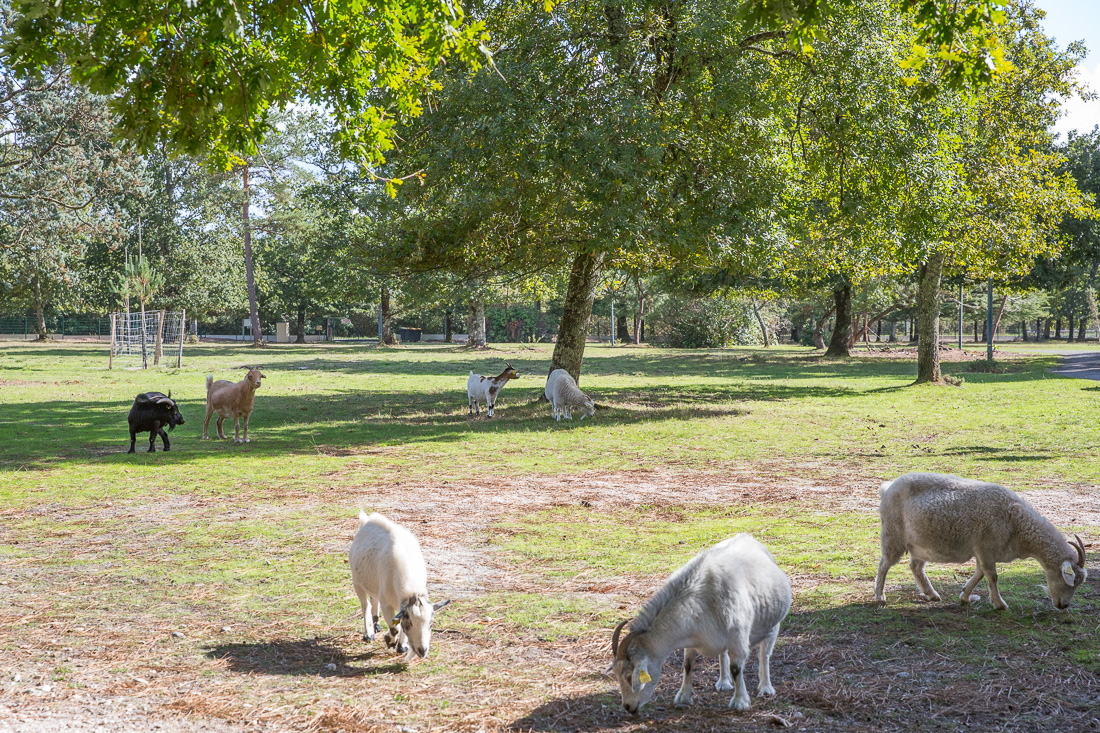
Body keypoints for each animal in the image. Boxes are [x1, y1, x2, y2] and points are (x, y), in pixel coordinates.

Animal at [347, 508, 451, 655]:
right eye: (410, 623)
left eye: (431, 624)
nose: (422, 651)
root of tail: (367, 521)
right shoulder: (387, 604)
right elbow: (395, 628)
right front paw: (389, 641)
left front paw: (402, 646)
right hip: (357, 582)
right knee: (365, 604)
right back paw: (369, 634)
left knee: (374, 599)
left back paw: (376, 624)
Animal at [611, 530, 792, 713]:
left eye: (629, 677)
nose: (628, 706)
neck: (701, 597)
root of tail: (746, 536)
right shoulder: (692, 637)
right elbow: (687, 664)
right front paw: (683, 697)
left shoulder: (738, 638)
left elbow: (736, 668)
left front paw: (740, 701)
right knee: (723, 653)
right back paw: (724, 682)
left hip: (773, 624)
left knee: (765, 654)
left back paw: (766, 687)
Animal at [871, 471, 1086, 607]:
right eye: (1070, 581)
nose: (1064, 605)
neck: (1016, 522)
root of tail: (887, 488)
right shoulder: (985, 547)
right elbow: (992, 575)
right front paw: (1000, 604)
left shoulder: (983, 552)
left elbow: (980, 573)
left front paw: (966, 597)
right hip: (893, 535)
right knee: (884, 564)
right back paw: (880, 596)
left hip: (920, 543)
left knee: (915, 567)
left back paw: (932, 595)